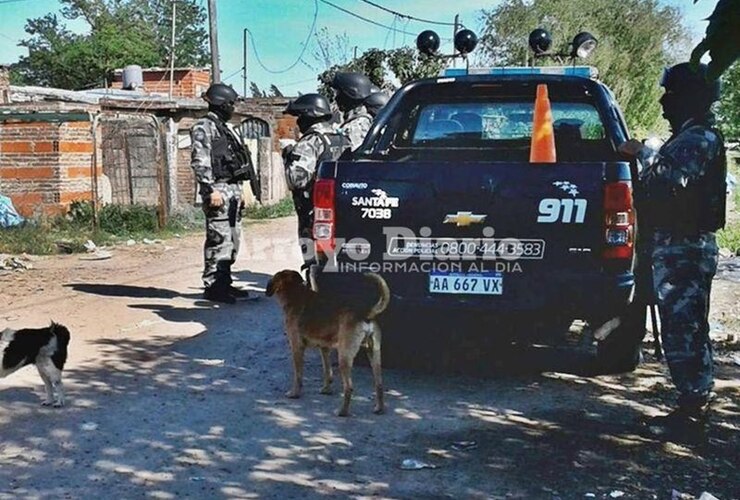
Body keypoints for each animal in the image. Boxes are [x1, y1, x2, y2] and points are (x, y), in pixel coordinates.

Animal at [268, 272, 394, 416]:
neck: (296, 292)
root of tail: (366, 314)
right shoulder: (325, 348)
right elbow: (327, 371)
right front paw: (326, 389)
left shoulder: (296, 347)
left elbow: (298, 375)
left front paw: (295, 393)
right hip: (374, 355)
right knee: (379, 384)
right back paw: (379, 408)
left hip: (344, 357)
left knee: (349, 387)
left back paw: (342, 411)